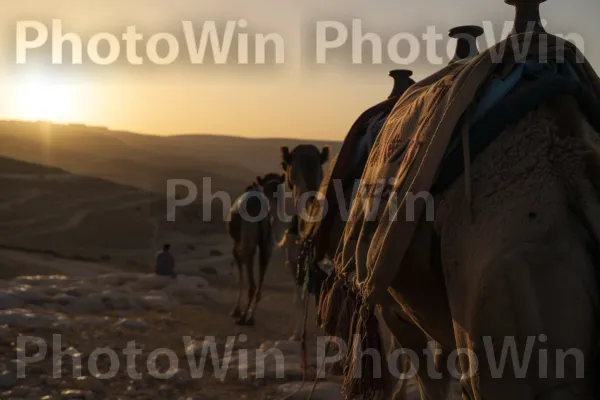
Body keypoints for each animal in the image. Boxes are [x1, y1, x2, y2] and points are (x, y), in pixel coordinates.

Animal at [227, 172, 284, 324]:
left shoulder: (237, 246)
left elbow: (240, 275)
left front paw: (236, 310)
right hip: (267, 247)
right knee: (259, 286)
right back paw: (251, 318)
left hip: (248, 243)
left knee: (252, 285)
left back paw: (242, 318)